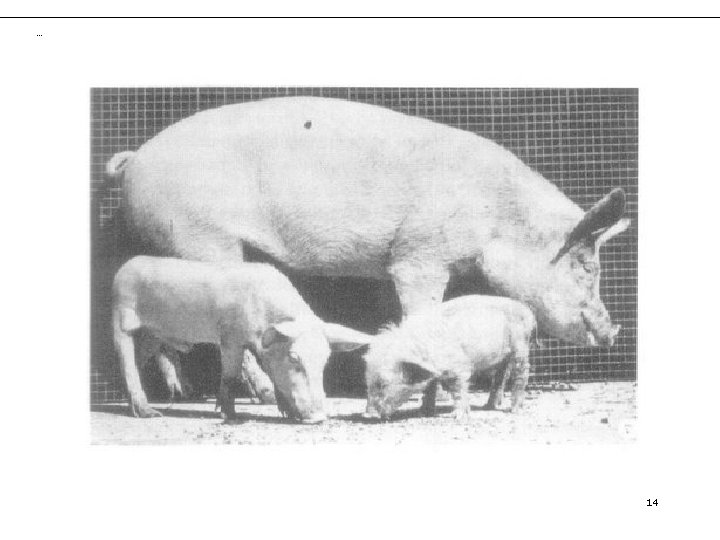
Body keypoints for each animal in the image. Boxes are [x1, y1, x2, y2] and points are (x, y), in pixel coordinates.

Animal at [106, 96, 629, 349]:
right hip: (201, 237)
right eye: (586, 267)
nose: (613, 332)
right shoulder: (419, 254)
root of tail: (137, 159)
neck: (499, 216)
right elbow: (420, 307)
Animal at [112, 256, 368, 421]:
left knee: (138, 359)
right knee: (125, 358)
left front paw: (288, 414)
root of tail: (123, 269)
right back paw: (150, 414)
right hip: (122, 315)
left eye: (325, 361)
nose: (319, 417)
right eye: (294, 358)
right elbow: (231, 375)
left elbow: (273, 374)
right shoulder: (230, 336)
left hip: (152, 334)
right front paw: (229, 416)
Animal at [364, 295, 536, 420]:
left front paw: (457, 416)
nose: (366, 415)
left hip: (521, 345)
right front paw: (424, 412)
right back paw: (489, 406)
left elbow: (457, 390)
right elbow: (430, 388)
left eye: (383, 383)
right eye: (368, 382)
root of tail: (527, 311)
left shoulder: (458, 367)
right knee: (501, 376)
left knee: (522, 373)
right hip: (503, 357)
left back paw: (514, 410)